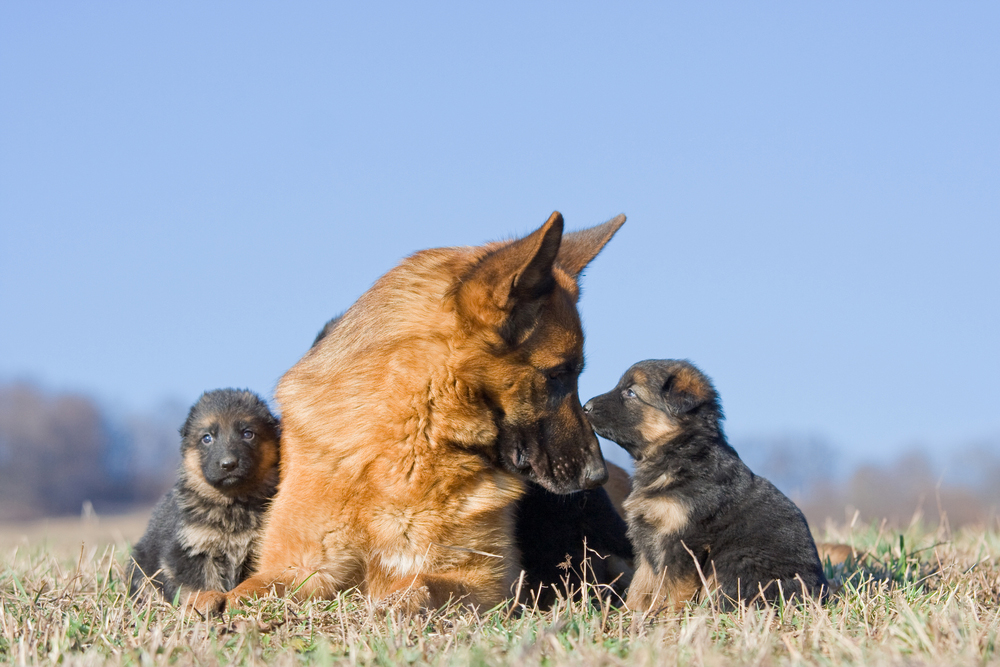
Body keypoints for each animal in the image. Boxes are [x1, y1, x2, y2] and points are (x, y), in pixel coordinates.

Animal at [127, 388, 282, 608]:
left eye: (248, 434)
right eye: (207, 438)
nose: (228, 464)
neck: (232, 503)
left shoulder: (257, 548)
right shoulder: (190, 549)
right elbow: (199, 583)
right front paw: (203, 601)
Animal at [204, 211, 624, 612]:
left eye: (571, 373)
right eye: (558, 374)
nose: (597, 476)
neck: (409, 441)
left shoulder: (484, 584)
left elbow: (421, 584)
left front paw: (392, 604)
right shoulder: (299, 566)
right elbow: (251, 589)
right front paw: (216, 602)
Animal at [584, 362, 824, 612]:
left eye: (630, 392)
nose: (585, 407)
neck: (678, 453)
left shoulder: (684, 541)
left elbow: (672, 587)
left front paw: (665, 616)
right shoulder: (648, 539)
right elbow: (642, 582)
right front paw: (630, 613)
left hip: (737, 560)